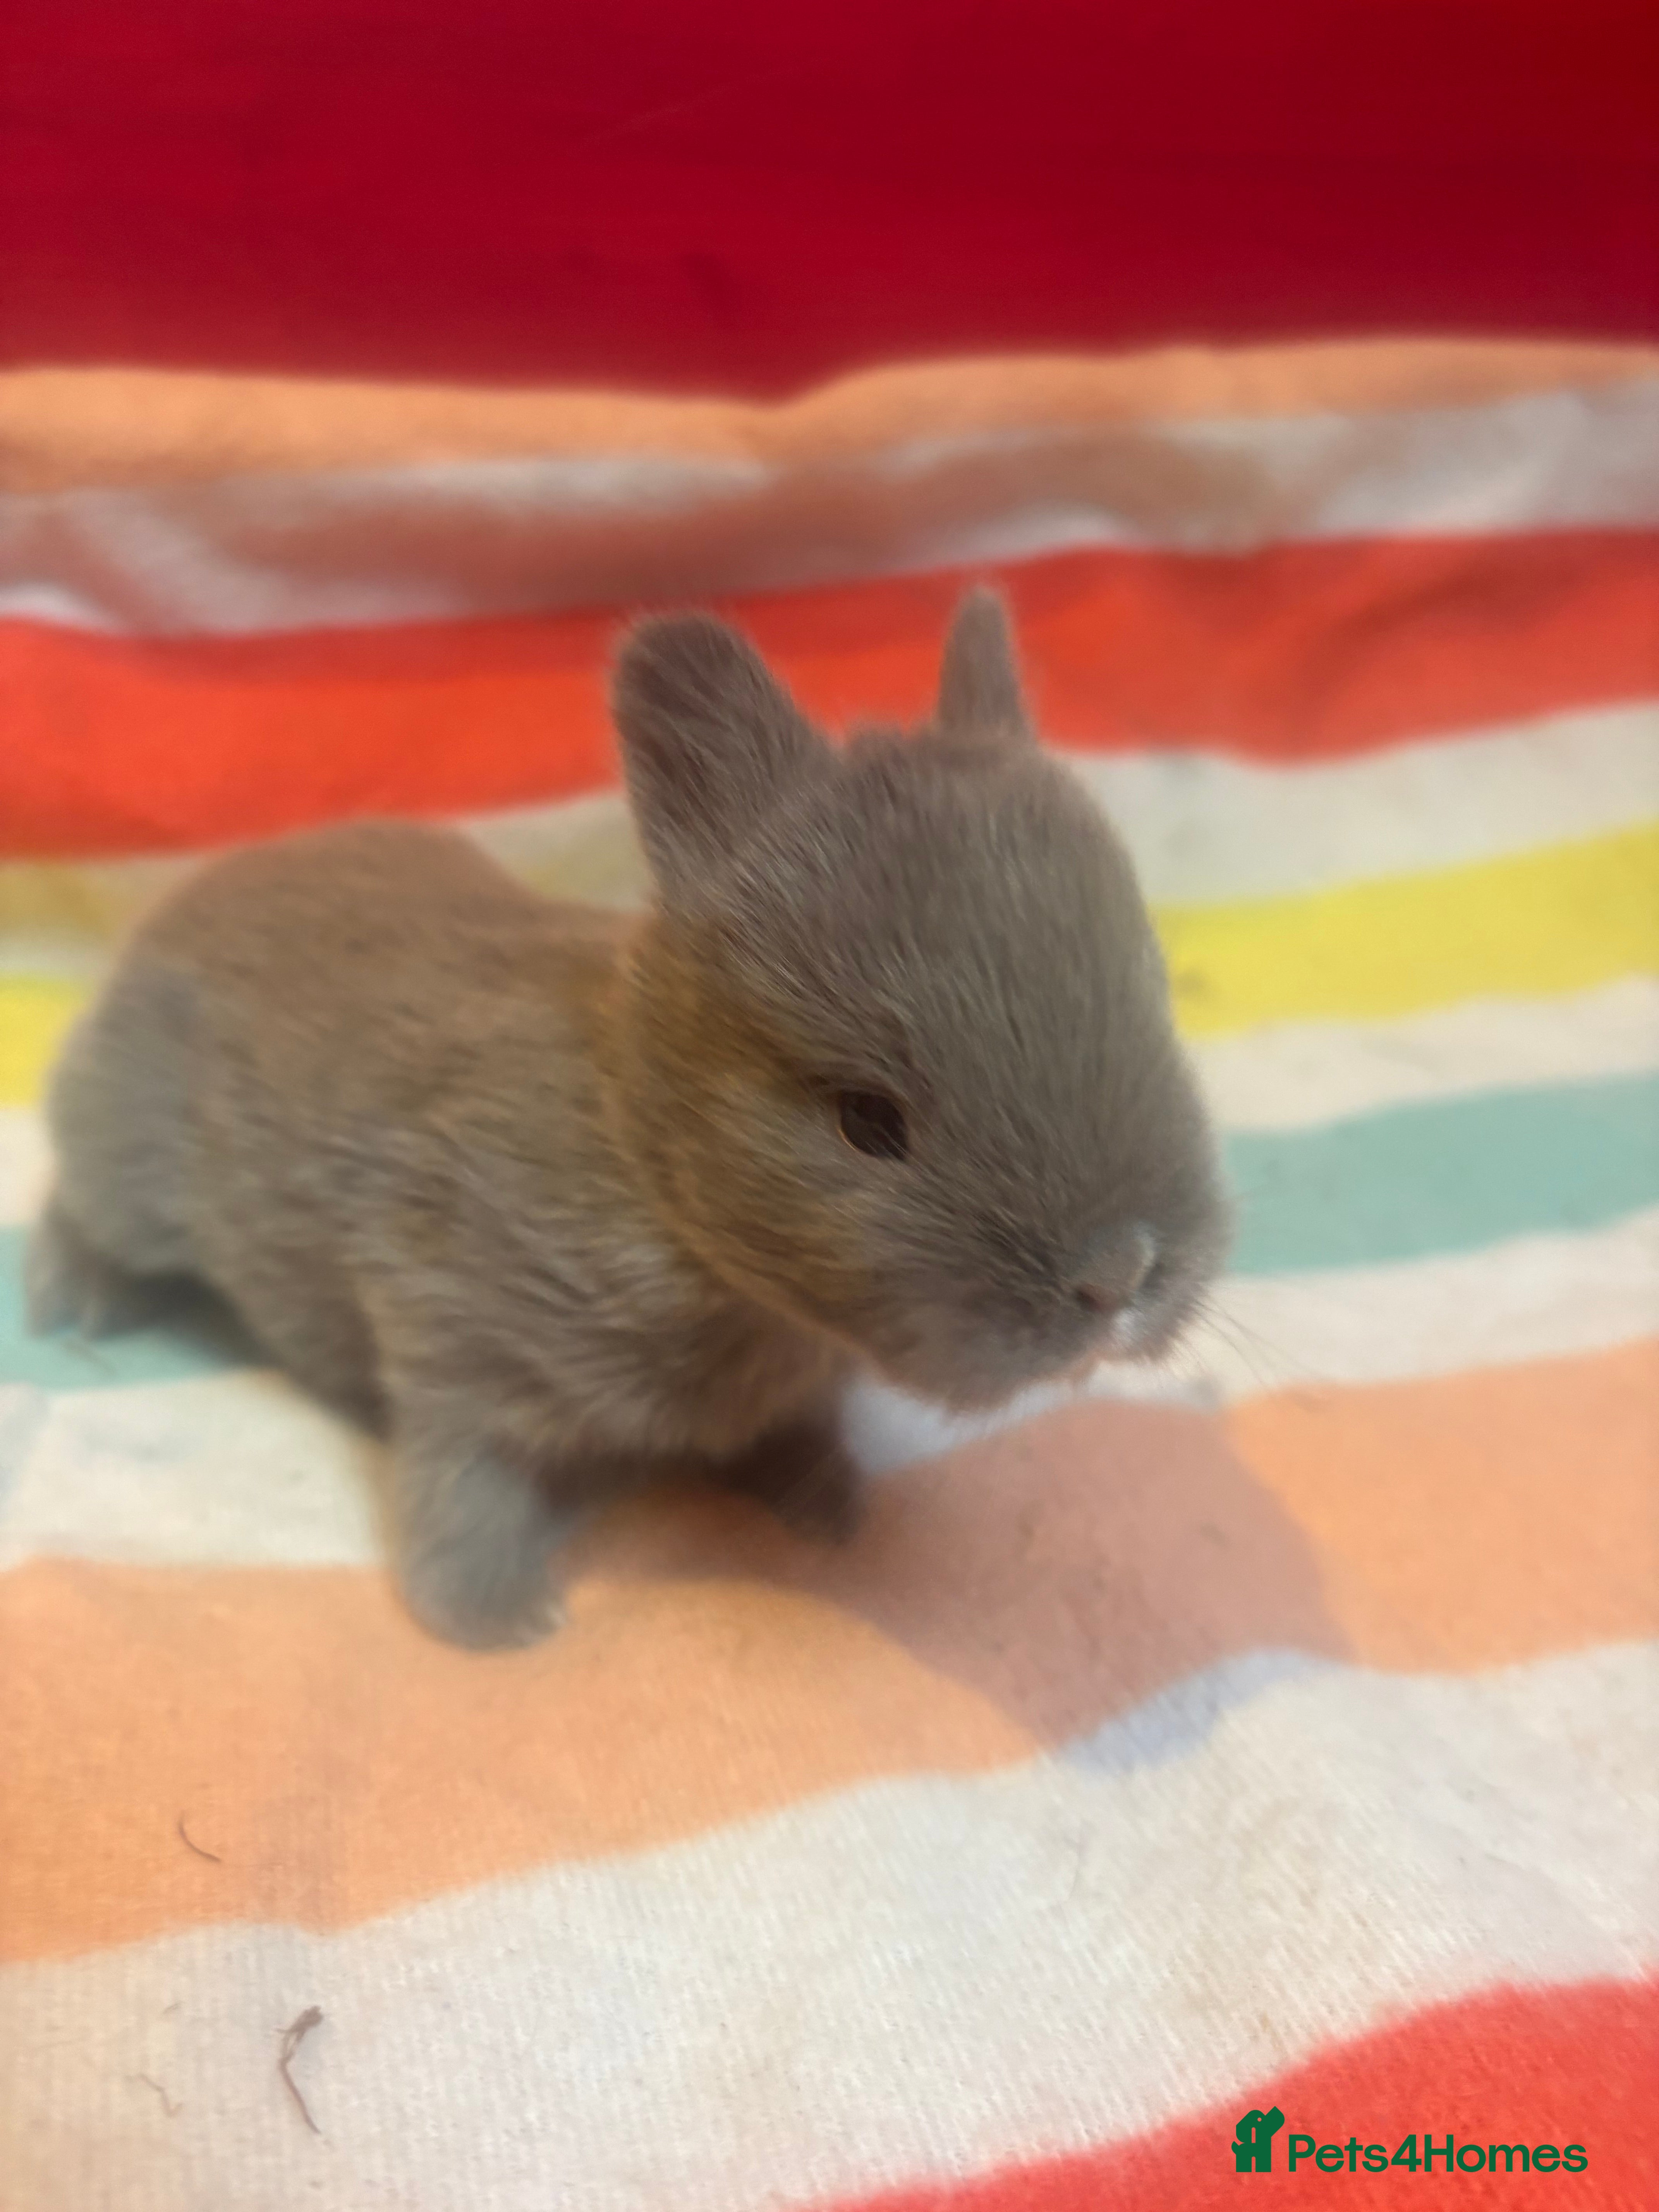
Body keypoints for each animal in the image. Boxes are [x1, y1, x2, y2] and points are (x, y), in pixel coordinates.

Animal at [27, 589, 1231, 1649]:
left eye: (1152, 1001)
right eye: (866, 1121)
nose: (1119, 1277)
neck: (648, 1165)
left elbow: (796, 1433)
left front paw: (830, 1510)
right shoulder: (448, 1336)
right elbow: (464, 1476)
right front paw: (492, 1620)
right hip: (131, 1166)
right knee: (86, 1211)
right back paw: (71, 1304)